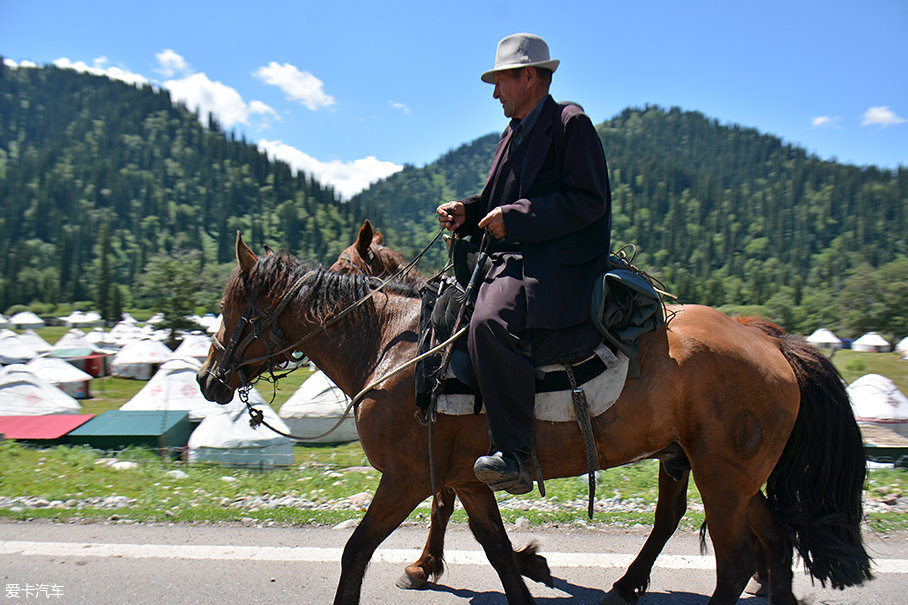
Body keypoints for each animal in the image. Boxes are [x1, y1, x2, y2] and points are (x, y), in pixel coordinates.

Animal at [200, 234, 872, 600]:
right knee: (772, 540)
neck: (396, 342)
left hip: (722, 475)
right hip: (729, 475)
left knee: (735, 561)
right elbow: (495, 551)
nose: (208, 379)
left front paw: (425, 566)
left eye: (232, 307)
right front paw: (493, 564)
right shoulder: (466, 476)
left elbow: (356, 551)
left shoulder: (406, 478)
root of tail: (770, 343)